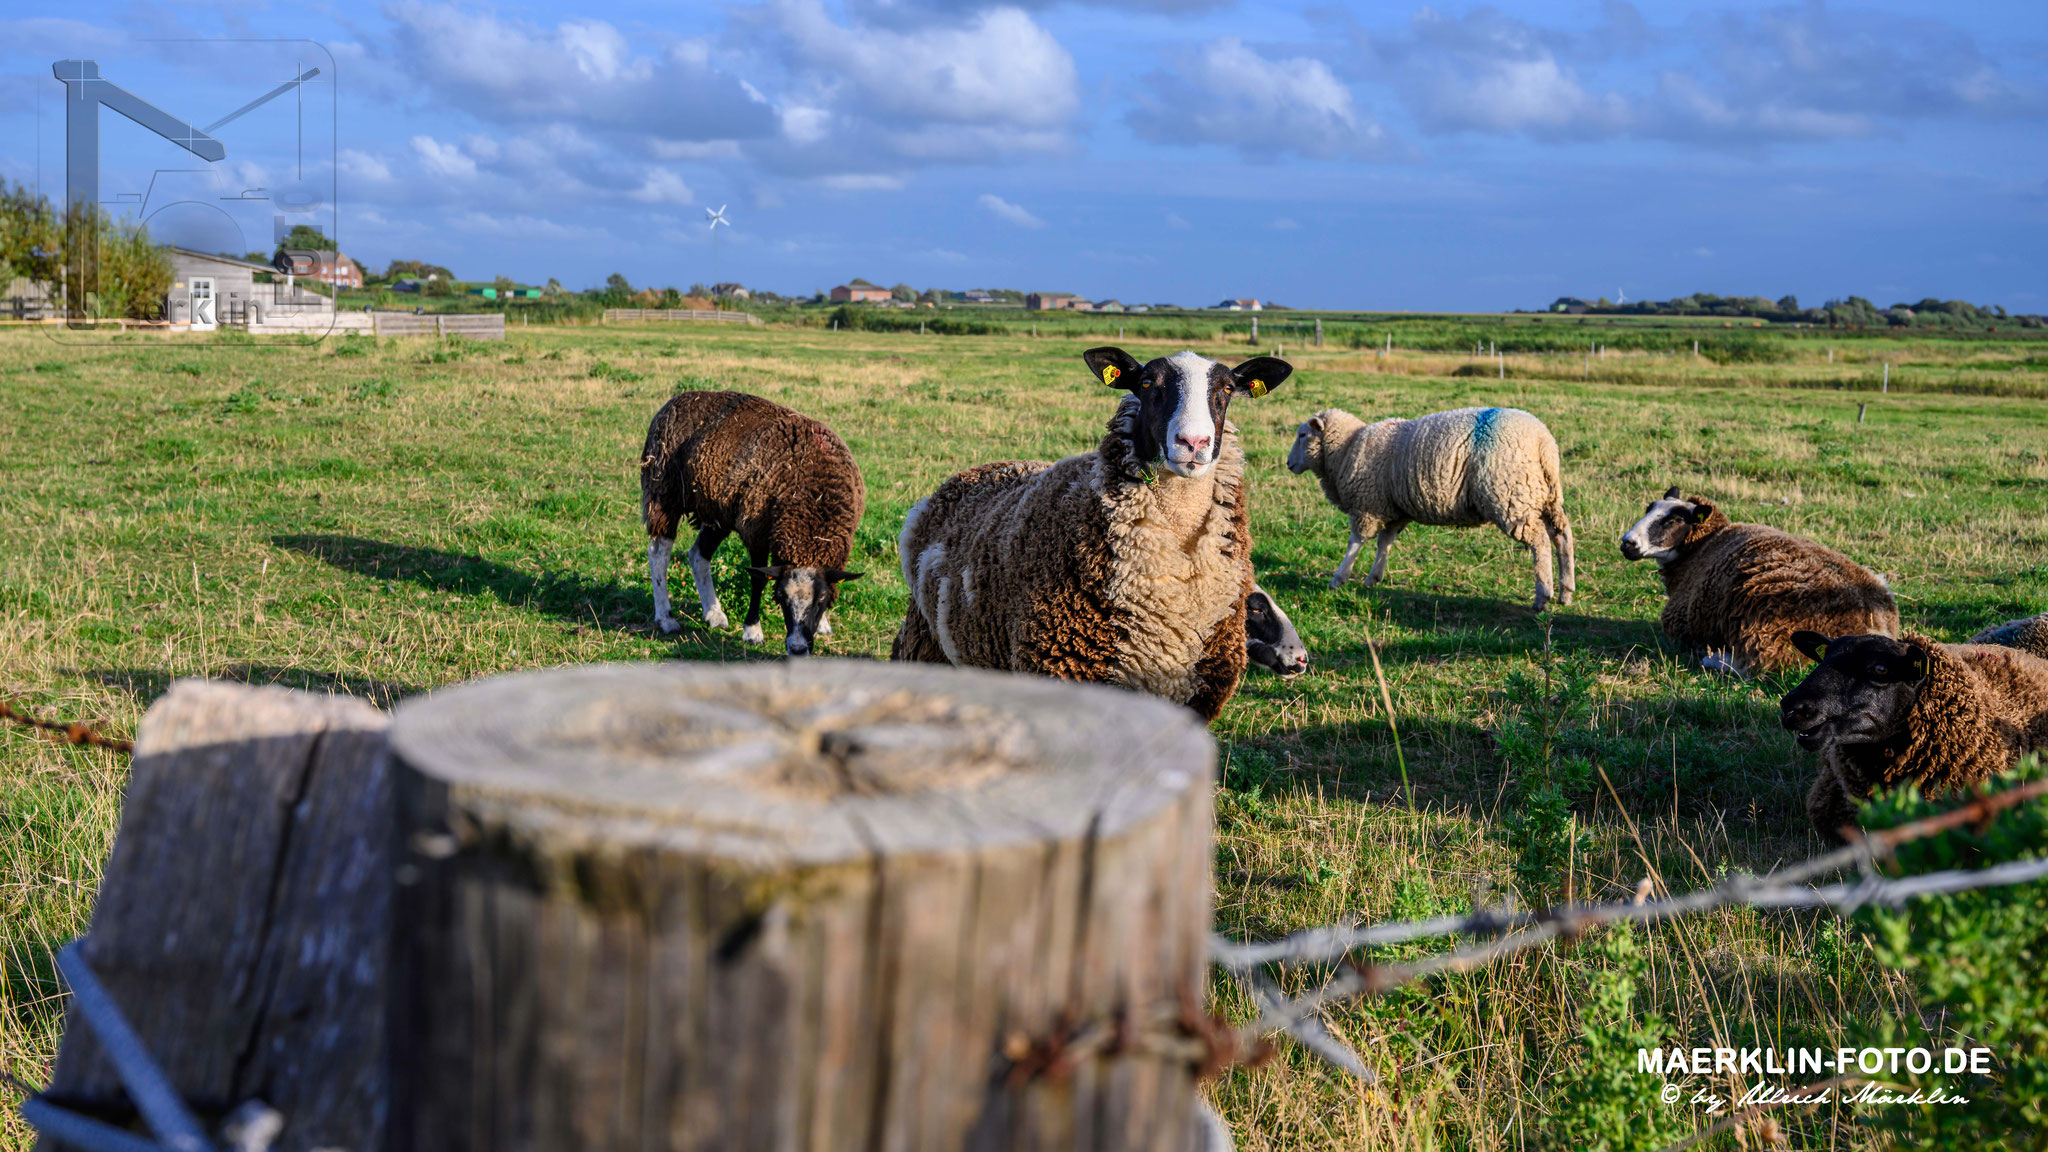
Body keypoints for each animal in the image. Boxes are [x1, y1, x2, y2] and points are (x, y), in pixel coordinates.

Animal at [640, 391, 864, 656]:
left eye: (821, 598)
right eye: (780, 597)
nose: (798, 648)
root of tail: (677, 399)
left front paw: (822, 623)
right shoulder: (756, 532)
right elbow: (758, 580)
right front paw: (752, 631)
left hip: (719, 511)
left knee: (698, 554)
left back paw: (714, 614)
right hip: (663, 492)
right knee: (658, 554)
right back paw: (666, 618)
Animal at [1285, 406, 1575, 611]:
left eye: (1303, 435)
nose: (1288, 464)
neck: (1345, 449)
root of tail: (1543, 442)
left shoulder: (1366, 505)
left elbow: (1355, 543)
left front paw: (1339, 578)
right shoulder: (1393, 509)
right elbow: (1384, 543)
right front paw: (1374, 577)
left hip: (1510, 495)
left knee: (1540, 542)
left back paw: (1543, 595)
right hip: (1544, 495)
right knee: (1562, 536)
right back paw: (1566, 591)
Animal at [1619, 488, 1898, 676]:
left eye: (1674, 520)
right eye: (1648, 509)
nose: (1627, 543)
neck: (1702, 546)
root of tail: (1872, 621)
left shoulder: (1678, 621)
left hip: (1771, 632)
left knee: (1759, 666)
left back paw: (1714, 658)